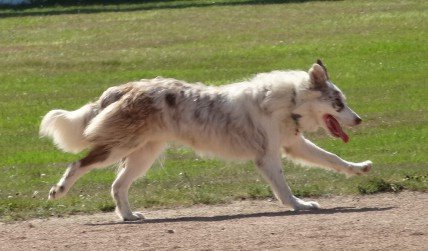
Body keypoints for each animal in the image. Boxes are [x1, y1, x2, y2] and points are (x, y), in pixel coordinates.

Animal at [40, 59, 372, 221]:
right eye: (338, 104)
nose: (358, 120)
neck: (290, 101)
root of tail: (124, 88)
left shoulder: (293, 145)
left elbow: (332, 159)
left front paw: (359, 168)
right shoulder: (268, 156)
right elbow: (284, 189)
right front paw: (299, 205)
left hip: (143, 155)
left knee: (117, 186)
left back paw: (129, 216)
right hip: (121, 146)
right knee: (79, 163)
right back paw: (59, 190)